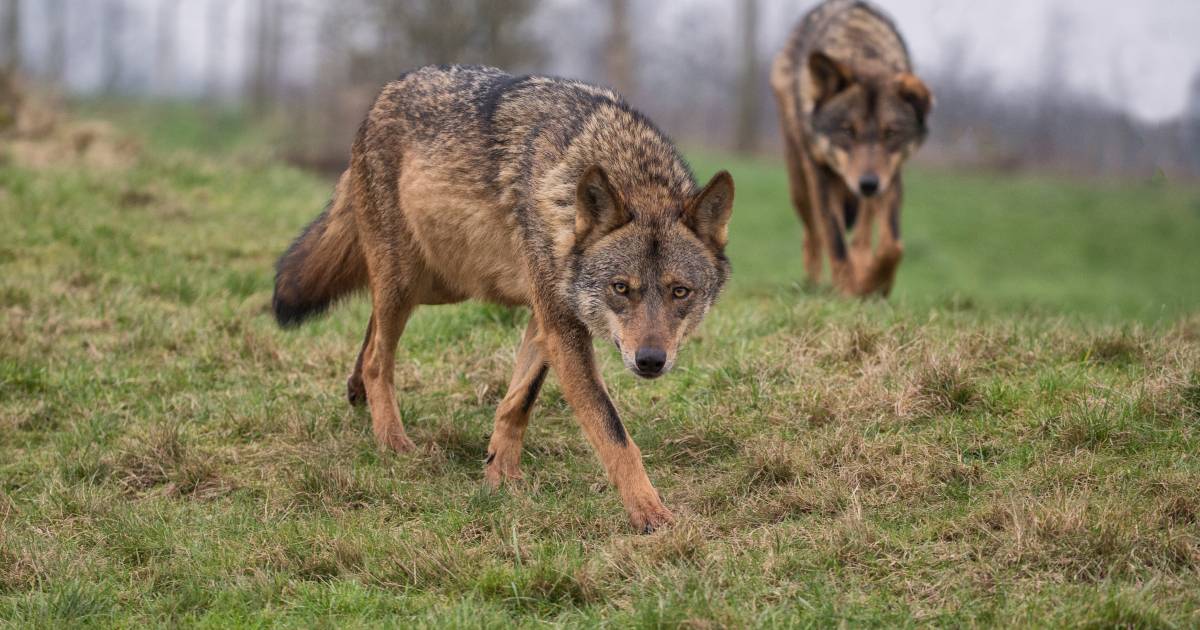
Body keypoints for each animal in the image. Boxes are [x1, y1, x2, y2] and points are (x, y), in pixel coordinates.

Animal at [271, 65, 734, 532]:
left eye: (680, 292)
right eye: (620, 288)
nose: (651, 361)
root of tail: (386, 91)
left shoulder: (546, 319)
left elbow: (519, 401)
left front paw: (500, 476)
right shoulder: (561, 327)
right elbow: (613, 432)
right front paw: (650, 513)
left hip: (439, 283)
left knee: (372, 329)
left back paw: (358, 395)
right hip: (408, 280)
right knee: (376, 358)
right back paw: (392, 442)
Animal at [771, 0, 932, 296]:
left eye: (890, 133)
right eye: (847, 131)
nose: (868, 183)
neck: (861, 50)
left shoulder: (891, 178)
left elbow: (892, 246)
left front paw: (875, 286)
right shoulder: (822, 175)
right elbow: (835, 241)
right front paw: (846, 292)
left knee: (862, 234)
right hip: (800, 185)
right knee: (812, 234)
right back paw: (812, 283)